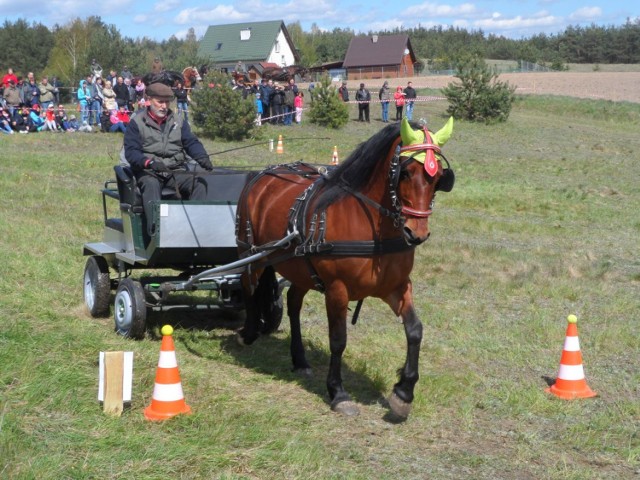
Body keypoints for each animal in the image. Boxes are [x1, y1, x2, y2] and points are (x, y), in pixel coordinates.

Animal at [235, 118, 456, 418]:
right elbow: (338, 339)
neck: (374, 228)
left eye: (438, 176)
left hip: (300, 268)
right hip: (251, 254)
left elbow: (415, 330)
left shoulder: (397, 286)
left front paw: (404, 391)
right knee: (248, 287)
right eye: (406, 172)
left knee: (293, 303)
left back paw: (299, 358)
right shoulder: (337, 290)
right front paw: (338, 392)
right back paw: (248, 332)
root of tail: (264, 175)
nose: (417, 233)